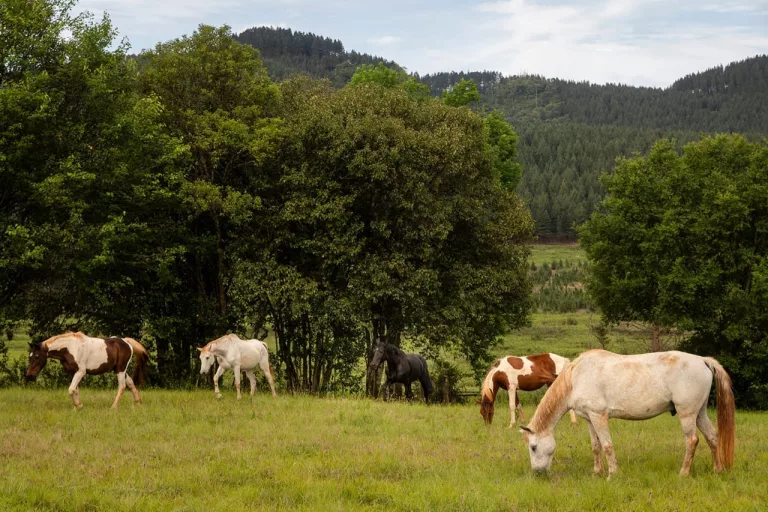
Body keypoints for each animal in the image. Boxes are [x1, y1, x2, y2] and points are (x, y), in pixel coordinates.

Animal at [520, 350, 736, 478]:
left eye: (533, 447)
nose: (538, 473)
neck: (577, 377)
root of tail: (703, 360)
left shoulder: (599, 416)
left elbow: (607, 445)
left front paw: (612, 474)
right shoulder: (589, 418)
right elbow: (595, 446)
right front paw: (597, 472)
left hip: (687, 414)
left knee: (692, 441)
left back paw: (683, 473)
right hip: (700, 413)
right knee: (712, 437)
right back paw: (718, 470)